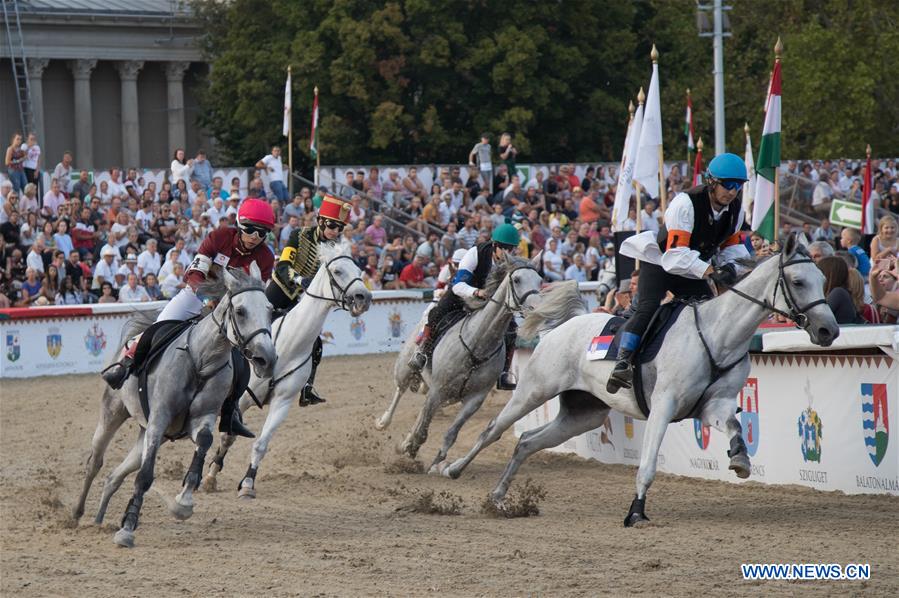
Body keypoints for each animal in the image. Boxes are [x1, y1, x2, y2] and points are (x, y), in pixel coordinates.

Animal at [73, 268, 274, 548]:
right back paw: (76, 515)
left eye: (270, 310)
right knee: (95, 462)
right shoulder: (159, 420)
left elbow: (204, 442)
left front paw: (184, 502)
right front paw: (127, 529)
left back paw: (99, 519)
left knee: (115, 475)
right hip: (113, 413)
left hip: (146, 434)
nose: (267, 359)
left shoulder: (200, 419)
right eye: (241, 311)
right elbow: (144, 477)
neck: (200, 361)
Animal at [204, 241, 372, 500]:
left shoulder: (283, 402)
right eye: (338, 271)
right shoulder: (241, 399)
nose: (364, 297)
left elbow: (261, 444)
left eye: (358, 269)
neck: (287, 345)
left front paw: (248, 483)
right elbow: (227, 436)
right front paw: (210, 475)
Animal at [440, 233, 840, 524]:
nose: (829, 330)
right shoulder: (664, 406)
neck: (717, 335)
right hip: (533, 391)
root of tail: (564, 327)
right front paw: (636, 511)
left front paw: (740, 458)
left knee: (526, 441)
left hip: (582, 414)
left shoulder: (713, 405)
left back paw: (497, 497)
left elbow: (734, 426)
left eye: (823, 279)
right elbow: (647, 465)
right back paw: (451, 468)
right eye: (798, 281)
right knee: (491, 431)